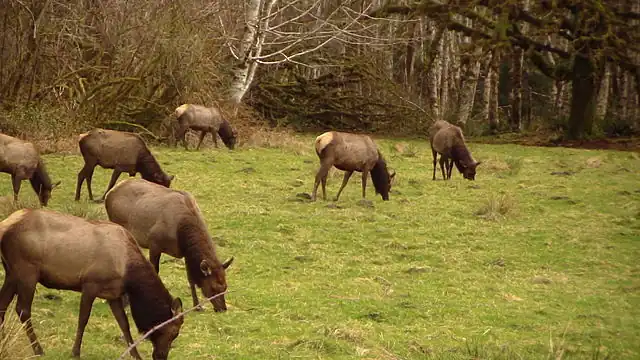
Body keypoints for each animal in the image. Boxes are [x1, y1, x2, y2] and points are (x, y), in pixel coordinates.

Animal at [0, 208, 185, 360]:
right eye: (174, 331)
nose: (161, 356)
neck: (127, 272)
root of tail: (5, 226)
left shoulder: (113, 294)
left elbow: (124, 324)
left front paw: (136, 355)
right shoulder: (90, 283)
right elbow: (83, 319)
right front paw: (75, 352)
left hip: (12, 273)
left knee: (3, 304)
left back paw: (4, 340)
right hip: (27, 271)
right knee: (22, 310)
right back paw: (38, 349)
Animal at [105, 178, 235, 312]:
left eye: (225, 287)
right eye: (213, 288)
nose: (223, 309)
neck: (182, 231)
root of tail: (109, 194)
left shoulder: (185, 252)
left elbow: (190, 279)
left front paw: (198, 306)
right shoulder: (154, 243)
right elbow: (155, 271)